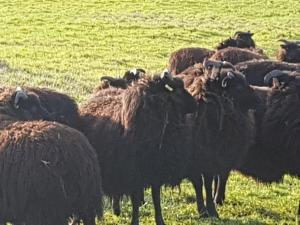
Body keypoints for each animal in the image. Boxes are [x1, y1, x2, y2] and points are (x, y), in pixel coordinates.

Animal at [185, 59, 258, 217]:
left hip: (227, 153)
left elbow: (209, 182)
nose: (257, 101)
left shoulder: (215, 158)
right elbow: (199, 184)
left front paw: (212, 209)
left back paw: (218, 198)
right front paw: (203, 210)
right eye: (239, 87)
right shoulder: (196, 160)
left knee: (222, 176)